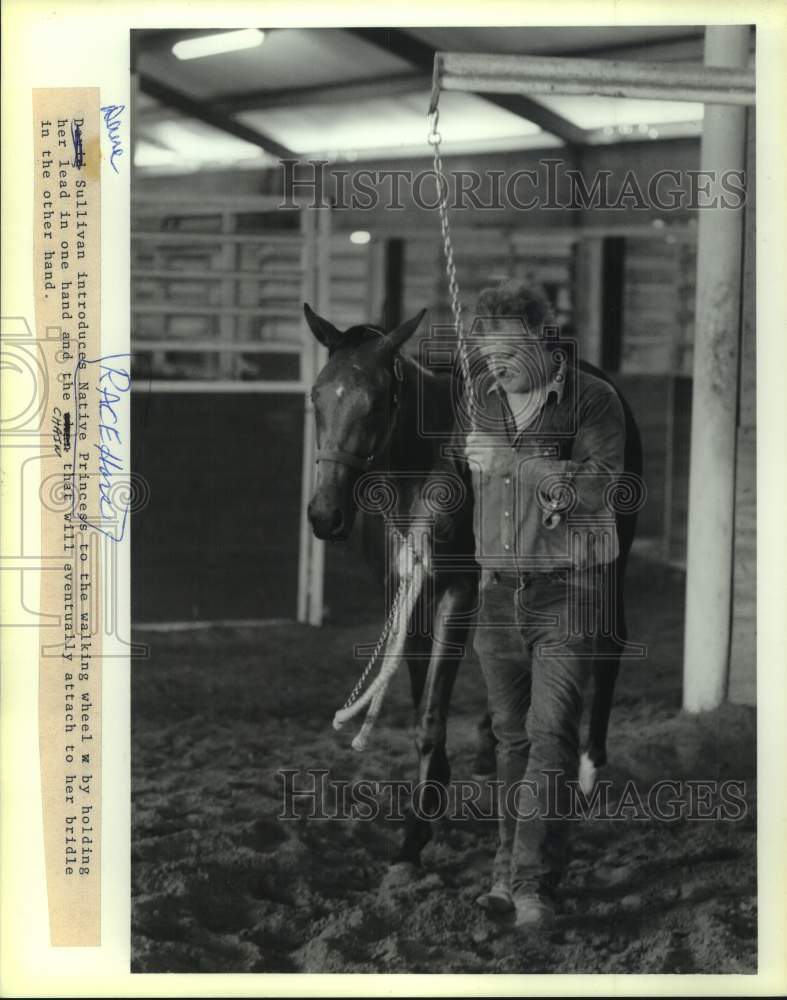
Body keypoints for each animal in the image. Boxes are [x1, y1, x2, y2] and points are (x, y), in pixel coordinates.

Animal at [304, 302, 644, 868]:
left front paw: (416, 831)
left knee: (611, 644)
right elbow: (424, 699)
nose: (324, 515)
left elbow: (432, 713)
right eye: (316, 396)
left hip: (610, 559)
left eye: (375, 401)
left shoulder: (458, 592)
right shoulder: (405, 592)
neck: (419, 475)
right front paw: (432, 798)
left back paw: (590, 767)